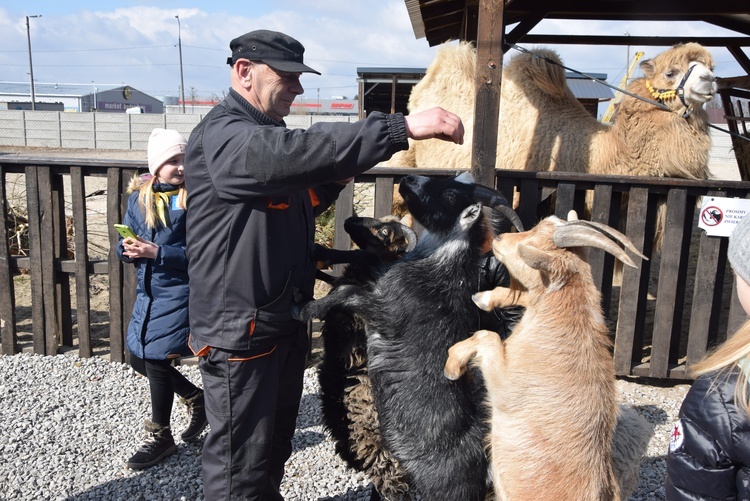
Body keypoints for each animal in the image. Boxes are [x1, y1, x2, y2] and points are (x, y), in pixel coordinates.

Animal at [444, 212, 648, 500]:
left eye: (530, 245)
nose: (499, 238)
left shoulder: (504, 389)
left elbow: (487, 336)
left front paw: (452, 364)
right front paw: (485, 297)